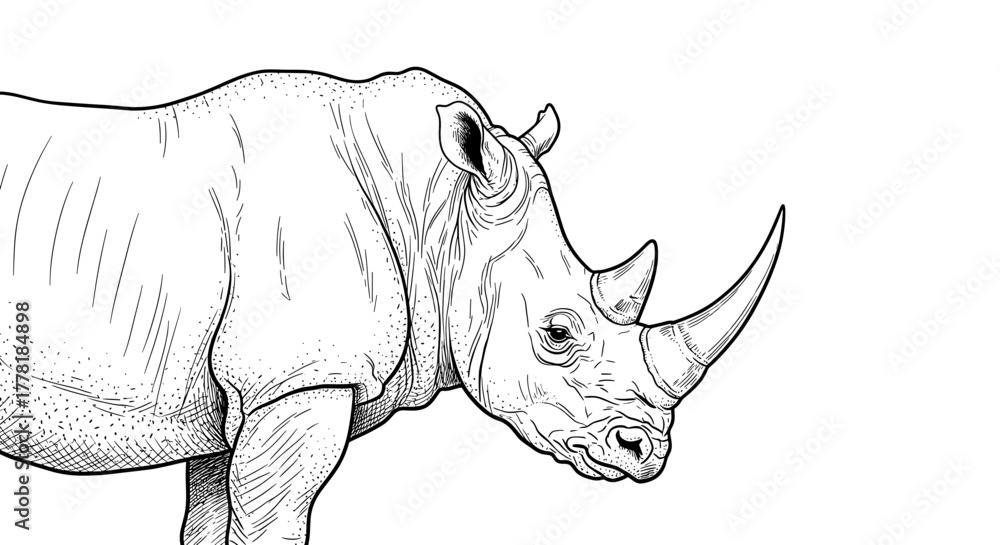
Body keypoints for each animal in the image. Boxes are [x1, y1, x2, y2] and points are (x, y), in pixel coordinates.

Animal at [0, 68, 784, 544]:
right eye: (558, 332)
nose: (646, 451)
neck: (435, 213)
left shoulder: (240, 401)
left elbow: (212, 516)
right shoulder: (301, 377)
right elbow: (272, 519)